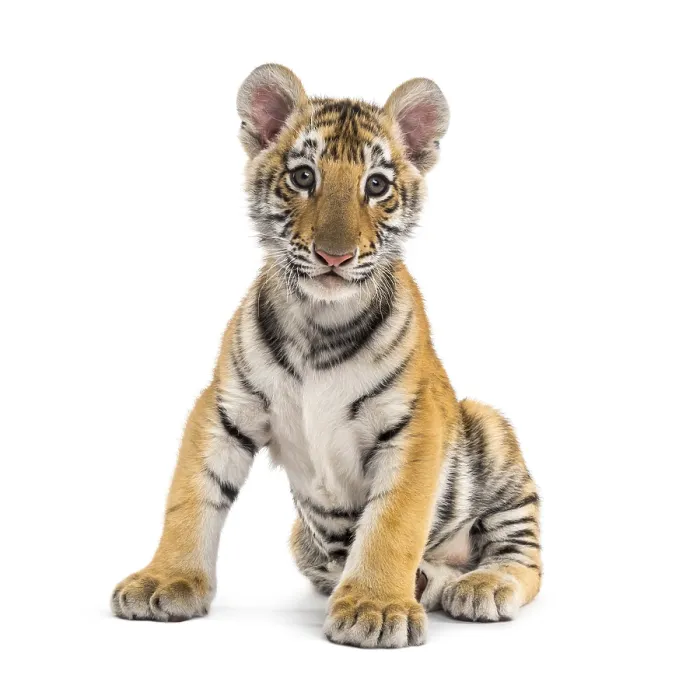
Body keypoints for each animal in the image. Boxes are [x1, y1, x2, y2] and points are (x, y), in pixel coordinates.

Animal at [111, 64, 542, 648]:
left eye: (376, 185)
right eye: (302, 177)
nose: (334, 256)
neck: (321, 322)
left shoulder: (414, 424)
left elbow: (392, 522)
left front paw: (376, 607)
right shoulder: (224, 408)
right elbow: (190, 497)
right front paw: (165, 579)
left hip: (491, 435)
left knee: (525, 559)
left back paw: (479, 586)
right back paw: (424, 581)